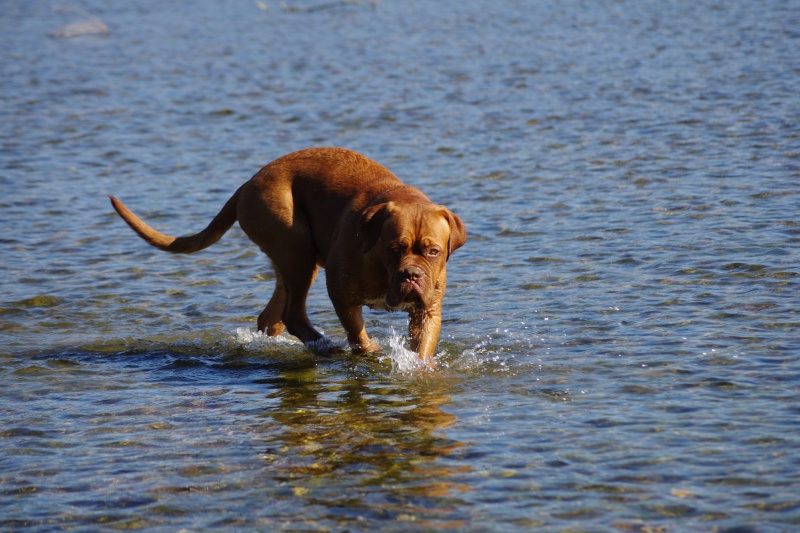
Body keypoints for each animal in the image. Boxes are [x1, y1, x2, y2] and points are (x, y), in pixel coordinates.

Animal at [109, 148, 466, 360]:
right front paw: (368, 350)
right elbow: (358, 334)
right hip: (298, 251)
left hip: (291, 261)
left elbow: (423, 347)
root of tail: (247, 184)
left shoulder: (428, 310)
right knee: (294, 314)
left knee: (273, 316)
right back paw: (326, 346)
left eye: (433, 252)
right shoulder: (342, 294)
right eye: (394, 249)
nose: (411, 274)